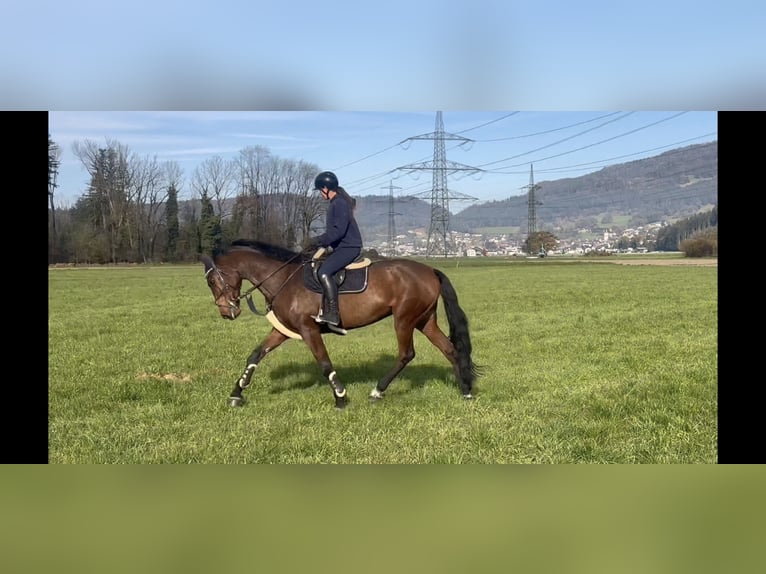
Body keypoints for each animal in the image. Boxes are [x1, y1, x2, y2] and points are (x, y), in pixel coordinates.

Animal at [202, 241, 480, 412]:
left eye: (213, 281)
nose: (227, 312)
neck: (284, 279)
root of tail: (430, 270)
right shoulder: (282, 330)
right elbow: (255, 355)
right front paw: (236, 393)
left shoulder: (308, 329)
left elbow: (325, 363)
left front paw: (340, 397)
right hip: (424, 320)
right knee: (450, 349)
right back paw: (465, 390)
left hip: (404, 319)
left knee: (406, 354)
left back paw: (377, 391)